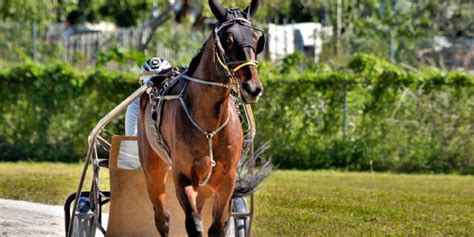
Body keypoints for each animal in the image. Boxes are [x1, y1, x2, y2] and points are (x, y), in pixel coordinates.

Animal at [137, 0, 264, 236]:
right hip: (153, 169)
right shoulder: (183, 177)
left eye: (256, 39)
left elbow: (218, 226)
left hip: (206, 186)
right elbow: (194, 224)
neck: (210, 124)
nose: (252, 88)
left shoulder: (227, 180)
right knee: (162, 217)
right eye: (227, 39)